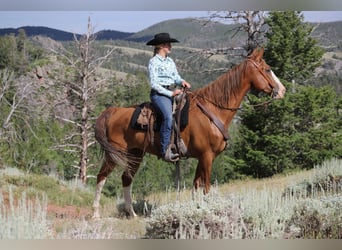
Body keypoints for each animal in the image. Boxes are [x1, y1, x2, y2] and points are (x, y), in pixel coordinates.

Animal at [91, 47, 286, 218]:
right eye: (267, 69)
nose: (282, 90)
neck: (213, 109)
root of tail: (113, 111)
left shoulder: (201, 157)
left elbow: (196, 186)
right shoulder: (207, 156)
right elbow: (206, 187)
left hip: (135, 154)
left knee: (126, 179)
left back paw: (132, 214)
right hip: (114, 155)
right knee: (101, 177)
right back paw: (95, 214)